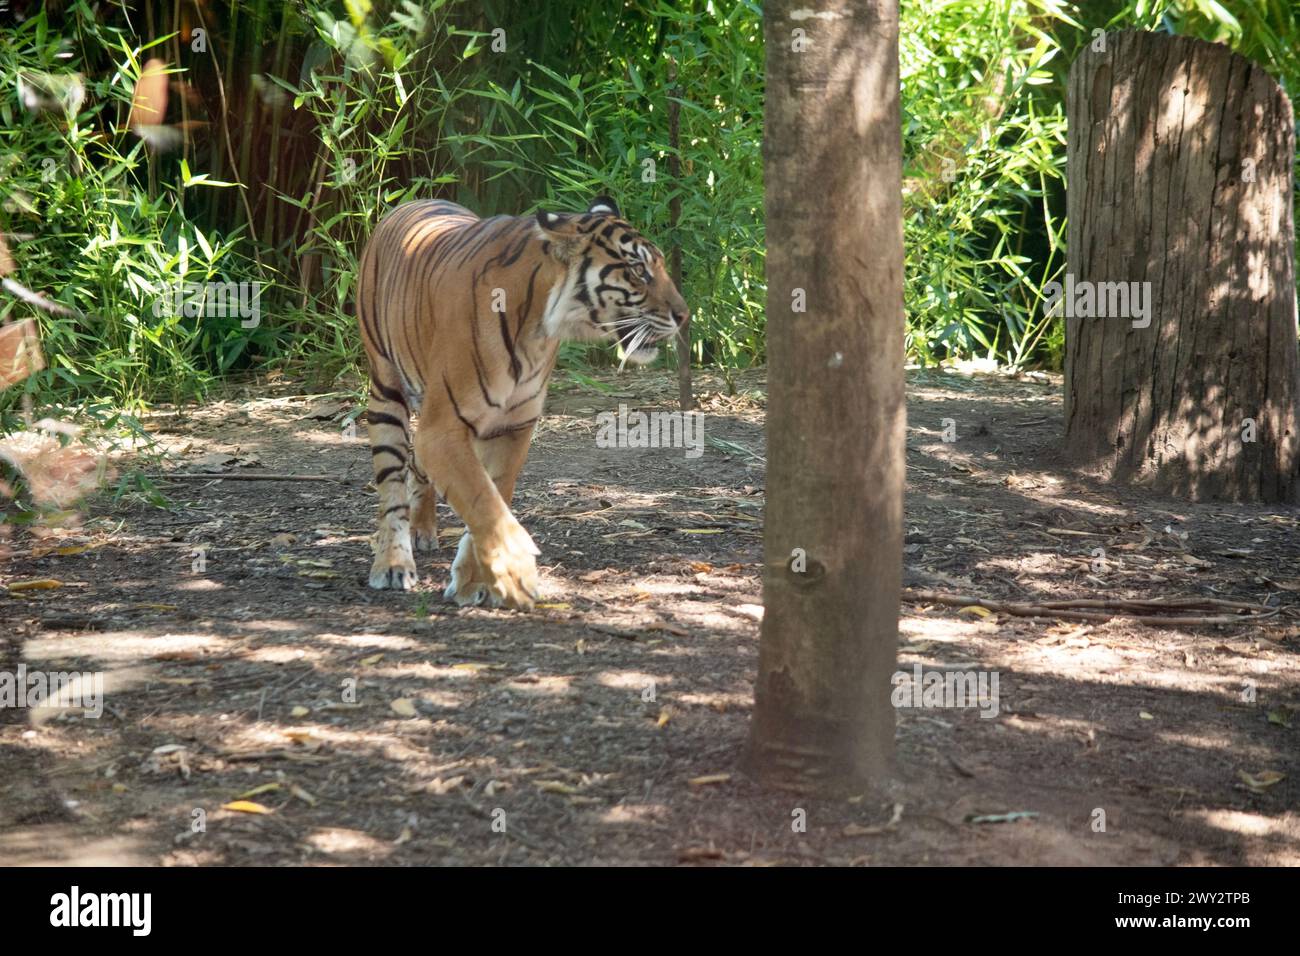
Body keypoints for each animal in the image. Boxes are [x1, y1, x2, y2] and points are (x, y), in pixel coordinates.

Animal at [355, 195, 689, 610]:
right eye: (638, 270)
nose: (684, 315)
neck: (538, 330)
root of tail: (414, 201)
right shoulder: (442, 429)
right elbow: (484, 502)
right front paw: (516, 576)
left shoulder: (513, 426)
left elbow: (493, 497)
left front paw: (475, 580)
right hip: (386, 390)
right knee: (392, 492)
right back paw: (393, 563)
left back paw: (423, 530)